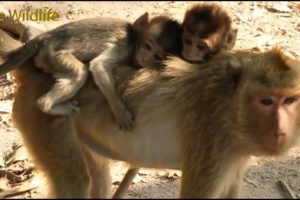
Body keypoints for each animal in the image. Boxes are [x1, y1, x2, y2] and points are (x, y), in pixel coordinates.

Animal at [0, 12, 182, 131]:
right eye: (147, 46)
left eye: (157, 55)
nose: (144, 59)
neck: (133, 36)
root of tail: (45, 38)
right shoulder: (124, 46)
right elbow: (98, 65)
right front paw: (120, 111)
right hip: (51, 55)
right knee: (80, 72)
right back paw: (47, 105)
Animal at [2, 23, 300, 198]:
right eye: (266, 102)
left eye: (290, 100)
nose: (280, 131)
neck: (230, 107)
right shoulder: (212, 139)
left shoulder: (234, 154)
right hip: (42, 120)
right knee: (75, 181)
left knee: (97, 179)